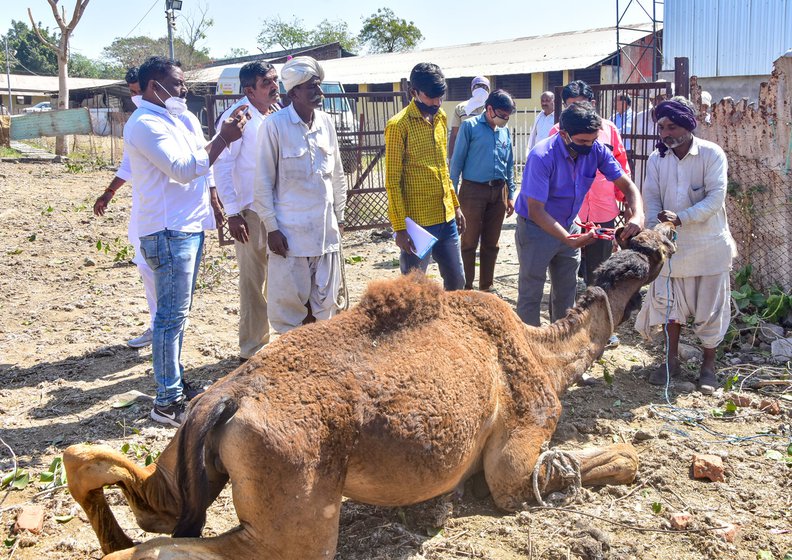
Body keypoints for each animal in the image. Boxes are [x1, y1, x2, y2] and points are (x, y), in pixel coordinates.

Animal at [65, 222, 676, 556]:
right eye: (658, 246)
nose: (671, 225)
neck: (543, 353)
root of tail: (224, 401)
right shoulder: (518, 446)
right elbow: (584, 464)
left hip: (191, 458)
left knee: (136, 495)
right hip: (294, 511)